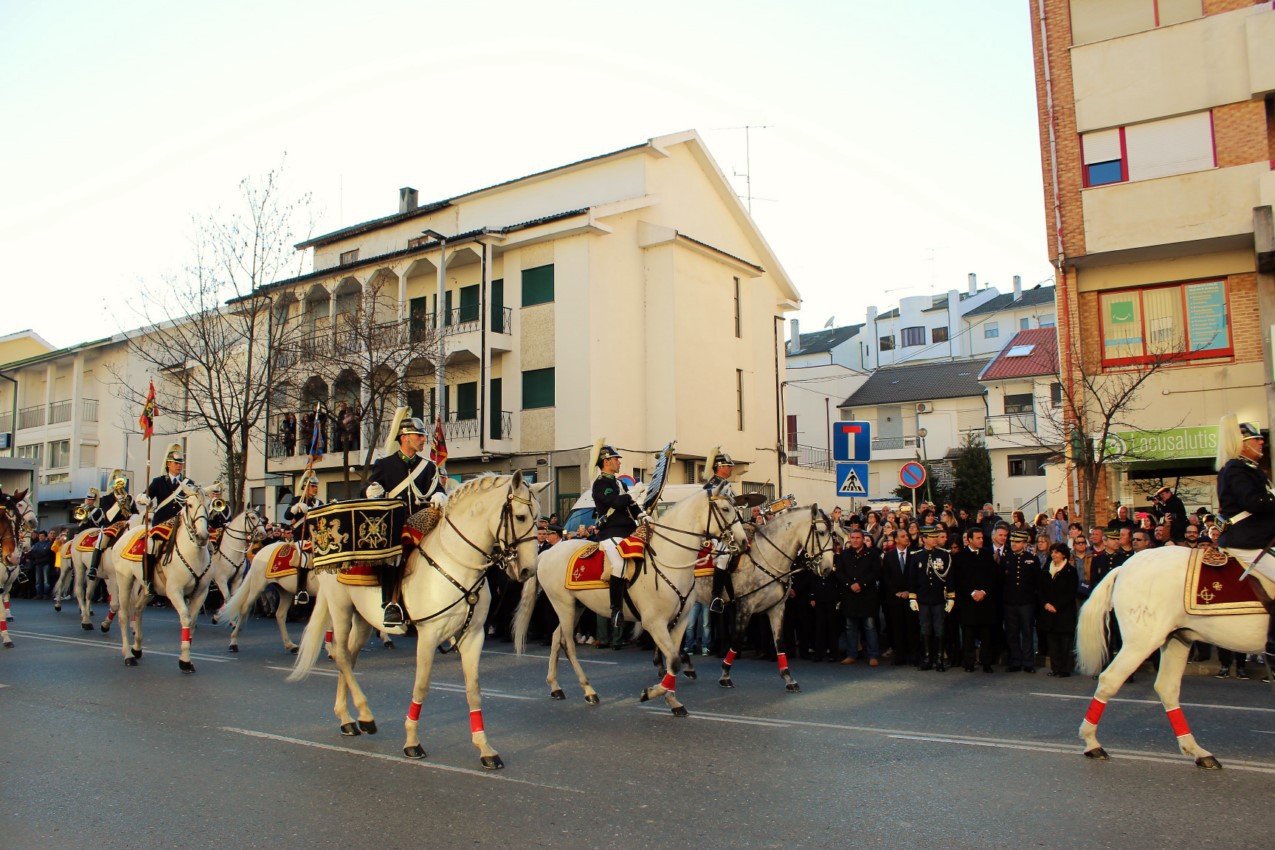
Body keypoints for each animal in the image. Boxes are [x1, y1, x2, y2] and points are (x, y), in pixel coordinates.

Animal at [112, 481, 214, 672]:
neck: (193, 553)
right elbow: (186, 618)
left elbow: (192, 622)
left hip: (148, 589)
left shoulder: (201, 593)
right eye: (189, 505)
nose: (203, 536)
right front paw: (185, 661)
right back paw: (128, 655)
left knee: (138, 609)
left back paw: (137, 648)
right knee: (123, 615)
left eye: (210, 504)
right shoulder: (175, 591)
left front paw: (186, 658)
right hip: (124, 580)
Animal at [206, 509, 263, 657]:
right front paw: (230, 621)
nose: (263, 533)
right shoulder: (221, 580)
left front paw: (221, 617)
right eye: (253, 518)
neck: (232, 550)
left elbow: (234, 599)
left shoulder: (237, 580)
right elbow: (228, 599)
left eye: (261, 518)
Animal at [289, 471, 543, 769]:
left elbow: (474, 689)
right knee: (340, 654)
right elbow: (421, 686)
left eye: (538, 517)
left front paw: (485, 748)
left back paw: (348, 719)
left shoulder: (473, 636)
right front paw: (412, 742)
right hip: (340, 608)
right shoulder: (428, 635)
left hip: (362, 619)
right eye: (521, 517)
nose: (527, 570)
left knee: (348, 659)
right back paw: (365, 715)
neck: (457, 564)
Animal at [510, 481, 744, 713]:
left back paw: (555, 686)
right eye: (725, 509)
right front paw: (651, 693)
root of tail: (545, 554)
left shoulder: (680, 622)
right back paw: (588, 690)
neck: (670, 558)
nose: (742, 541)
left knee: (556, 637)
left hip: (576, 606)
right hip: (564, 604)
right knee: (567, 643)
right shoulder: (655, 623)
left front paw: (671, 699)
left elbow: (673, 660)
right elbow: (674, 659)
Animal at [1076, 545, 1275, 769]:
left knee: (1167, 688)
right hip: (1142, 641)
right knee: (1110, 680)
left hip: (1177, 639)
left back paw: (1198, 752)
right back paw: (1092, 744)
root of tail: (1124, 567)